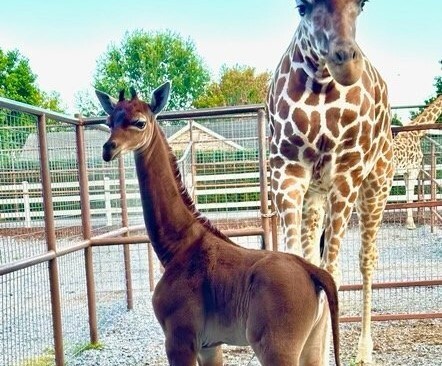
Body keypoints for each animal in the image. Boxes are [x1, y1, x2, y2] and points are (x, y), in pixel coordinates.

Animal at [95, 83, 340, 366]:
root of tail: (314, 273)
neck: (178, 247)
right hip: (313, 345)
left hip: (277, 349)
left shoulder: (180, 340)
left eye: (139, 122)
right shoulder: (209, 346)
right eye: (109, 121)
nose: (108, 149)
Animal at [266, 1, 394, 364]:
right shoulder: (287, 171)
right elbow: (301, 267)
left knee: (367, 259)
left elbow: (332, 272)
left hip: (376, 185)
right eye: (301, 7)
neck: (321, 84)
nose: (345, 63)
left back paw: (364, 350)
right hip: (315, 196)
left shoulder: (346, 174)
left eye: (362, 5)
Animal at [394, 94, 442, 229]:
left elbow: (408, 194)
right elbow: (410, 195)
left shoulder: (406, 172)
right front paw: (410, 224)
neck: (416, 132)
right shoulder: (414, 169)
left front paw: (408, 222)